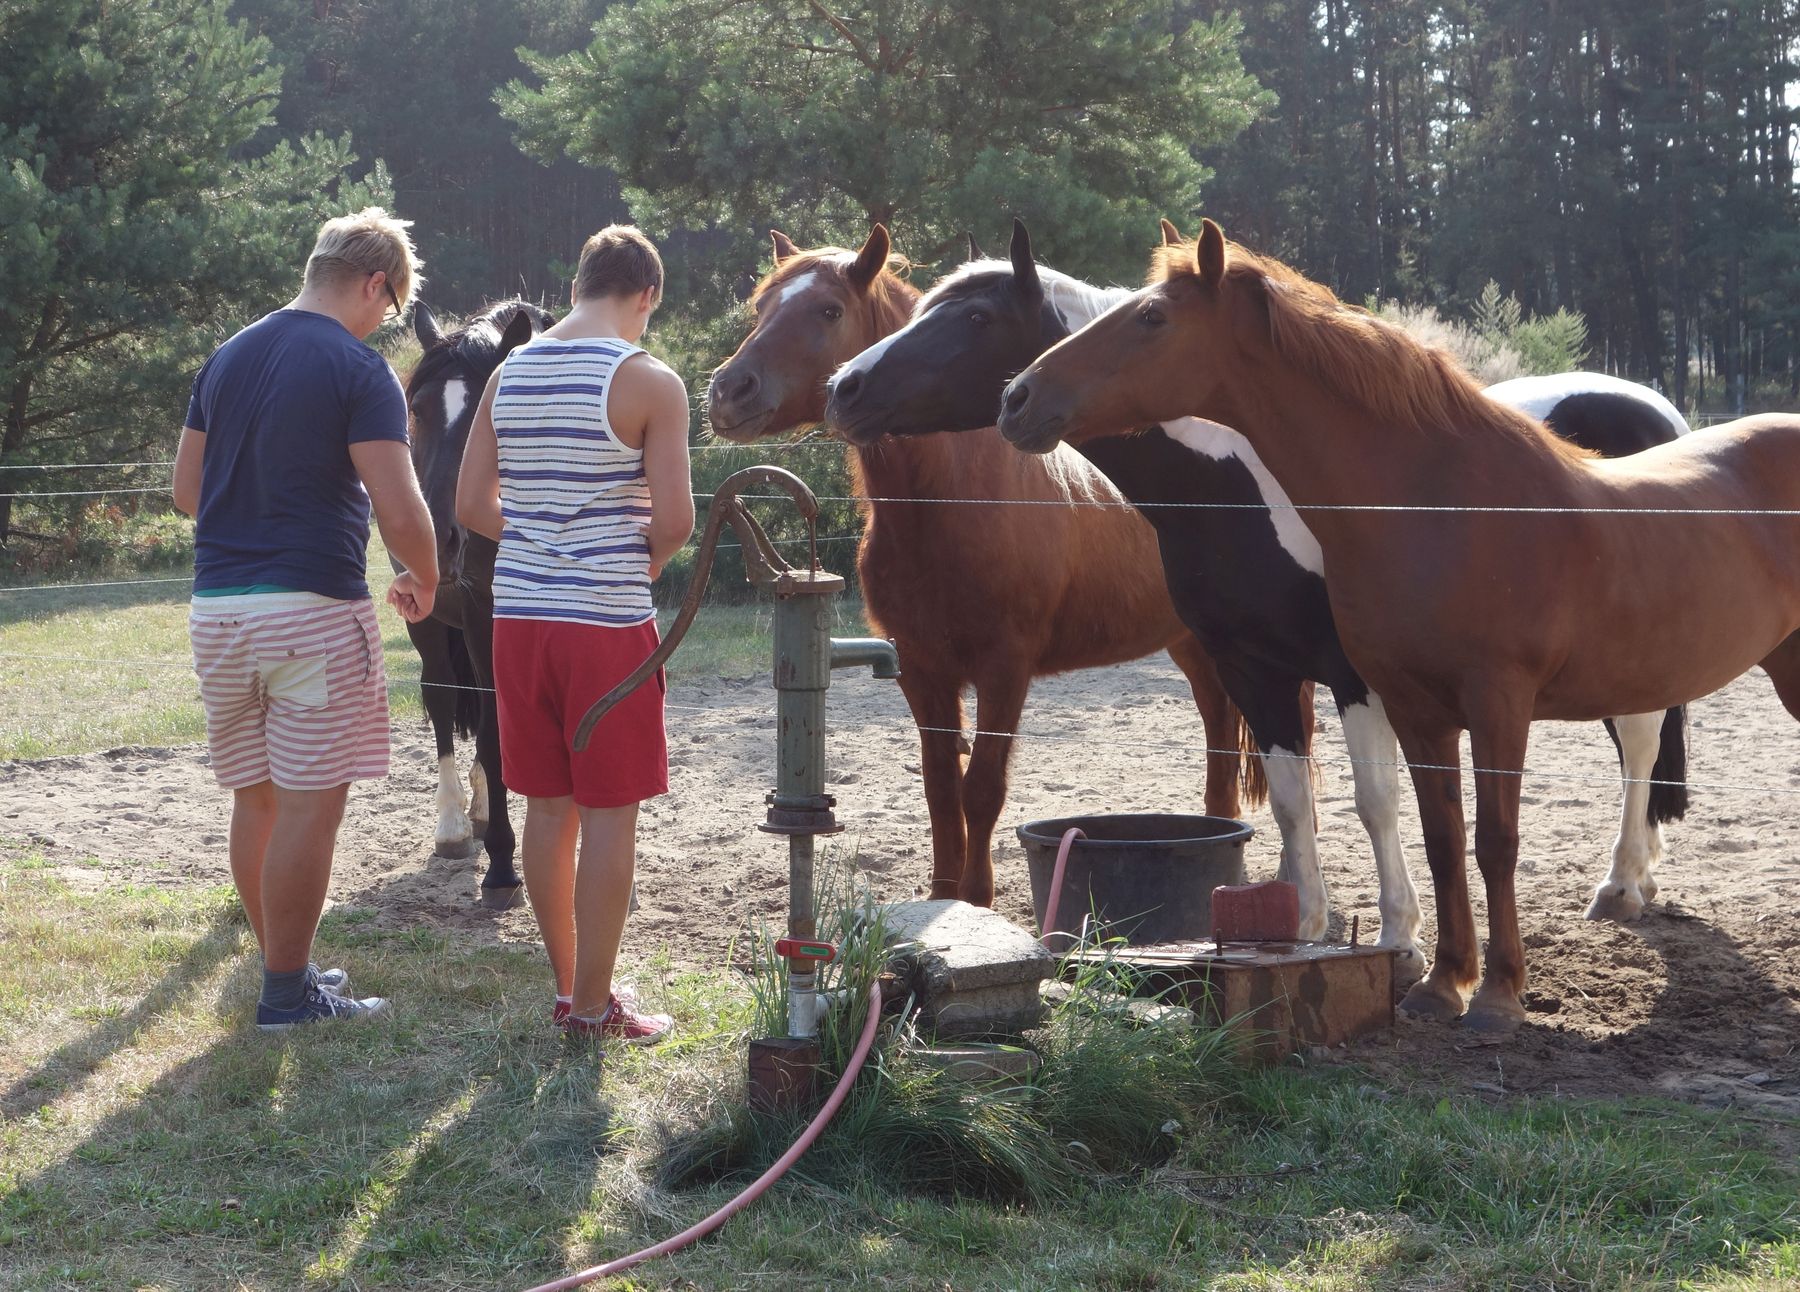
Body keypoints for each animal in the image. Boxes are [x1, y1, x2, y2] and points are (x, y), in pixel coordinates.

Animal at [702, 224, 1252, 910]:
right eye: (761, 308)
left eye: (828, 310)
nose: (729, 391)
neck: (951, 506)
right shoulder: (920, 669)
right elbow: (940, 786)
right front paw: (944, 895)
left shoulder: (1004, 669)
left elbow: (982, 787)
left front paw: (976, 897)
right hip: (1190, 644)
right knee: (1220, 738)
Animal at [1008, 217, 1800, 1036]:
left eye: (1152, 317)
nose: (1018, 396)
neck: (1439, 506)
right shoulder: (1414, 708)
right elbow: (1442, 838)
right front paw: (1444, 983)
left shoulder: (1498, 705)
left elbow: (1496, 844)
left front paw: (1499, 994)